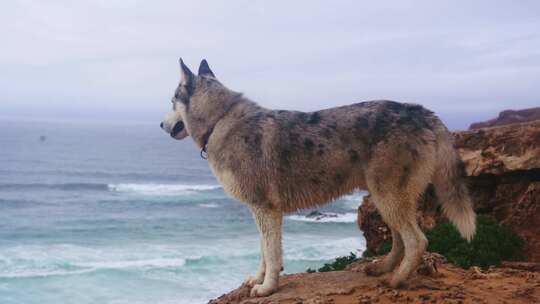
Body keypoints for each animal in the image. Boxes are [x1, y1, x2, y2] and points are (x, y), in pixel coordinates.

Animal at [161, 58, 476, 296]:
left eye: (172, 101)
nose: (161, 125)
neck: (220, 121)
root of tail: (422, 111)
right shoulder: (259, 212)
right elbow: (264, 252)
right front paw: (259, 280)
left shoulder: (266, 210)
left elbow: (272, 255)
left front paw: (267, 288)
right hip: (386, 200)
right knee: (400, 241)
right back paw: (383, 268)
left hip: (389, 199)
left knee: (417, 241)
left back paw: (396, 280)